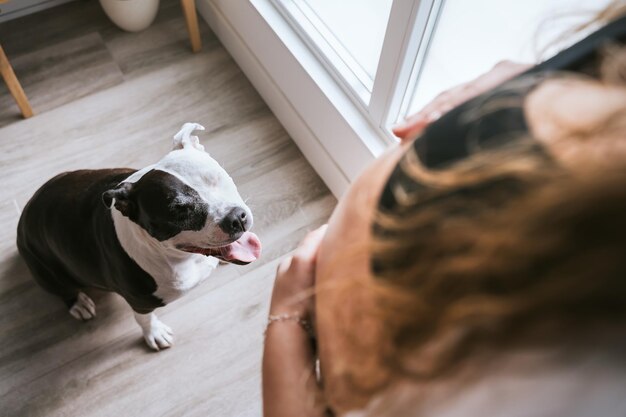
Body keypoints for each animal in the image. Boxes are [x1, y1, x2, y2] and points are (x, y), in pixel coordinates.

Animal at [16, 122, 260, 350]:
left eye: (217, 177)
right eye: (180, 211)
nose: (236, 218)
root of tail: (26, 213)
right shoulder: (140, 302)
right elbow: (144, 319)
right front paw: (155, 333)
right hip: (45, 271)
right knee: (63, 290)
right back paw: (78, 303)